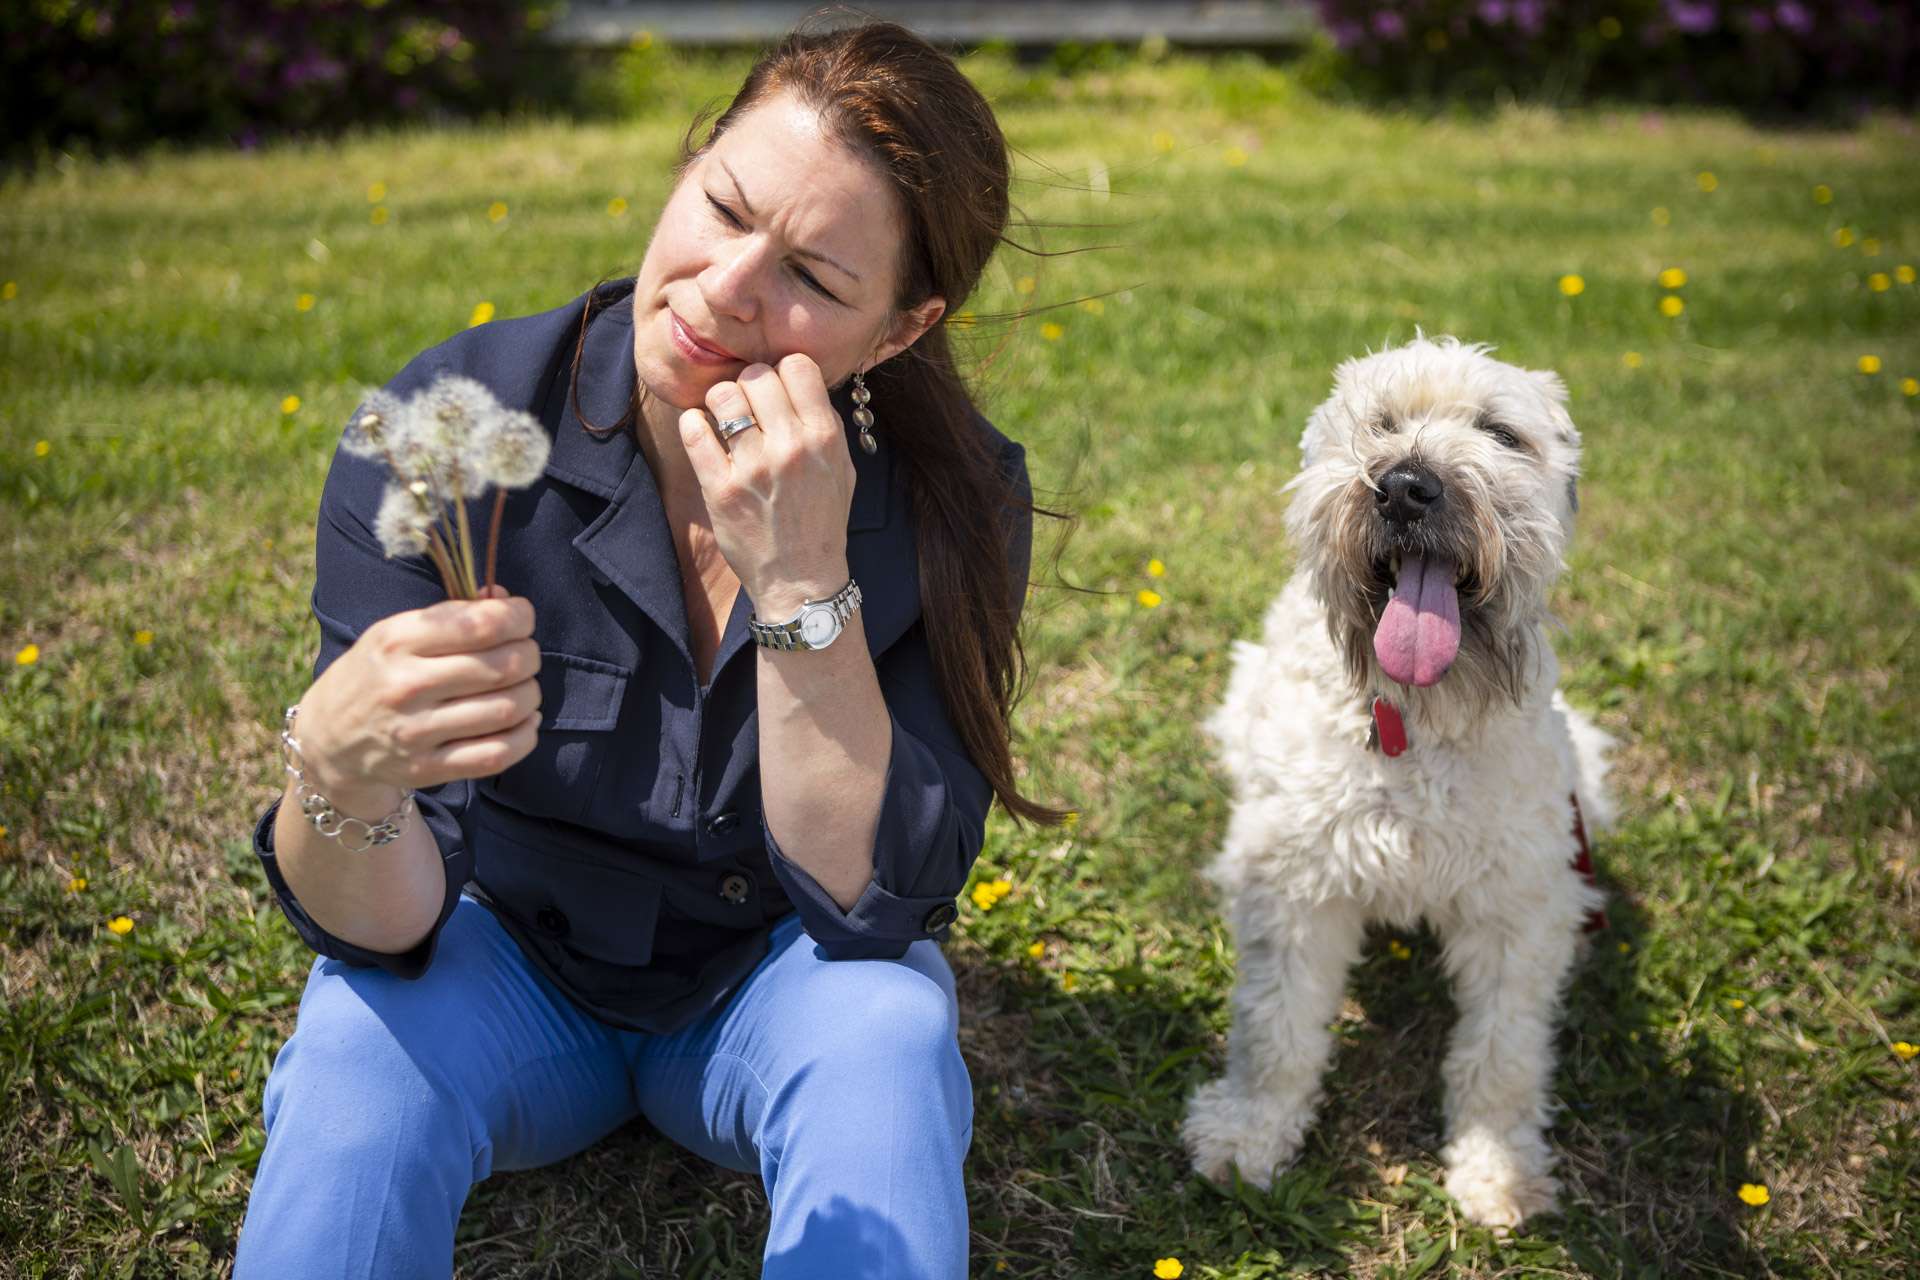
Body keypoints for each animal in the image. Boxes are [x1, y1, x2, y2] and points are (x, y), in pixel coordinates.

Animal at [1182, 335, 1620, 1228]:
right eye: (1381, 424)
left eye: (1501, 434)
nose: (1407, 485)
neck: (1417, 720)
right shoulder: (1296, 883)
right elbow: (1274, 1028)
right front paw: (1250, 1134)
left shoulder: (1519, 903)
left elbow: (1504, 1052)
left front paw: (1496, 1167)